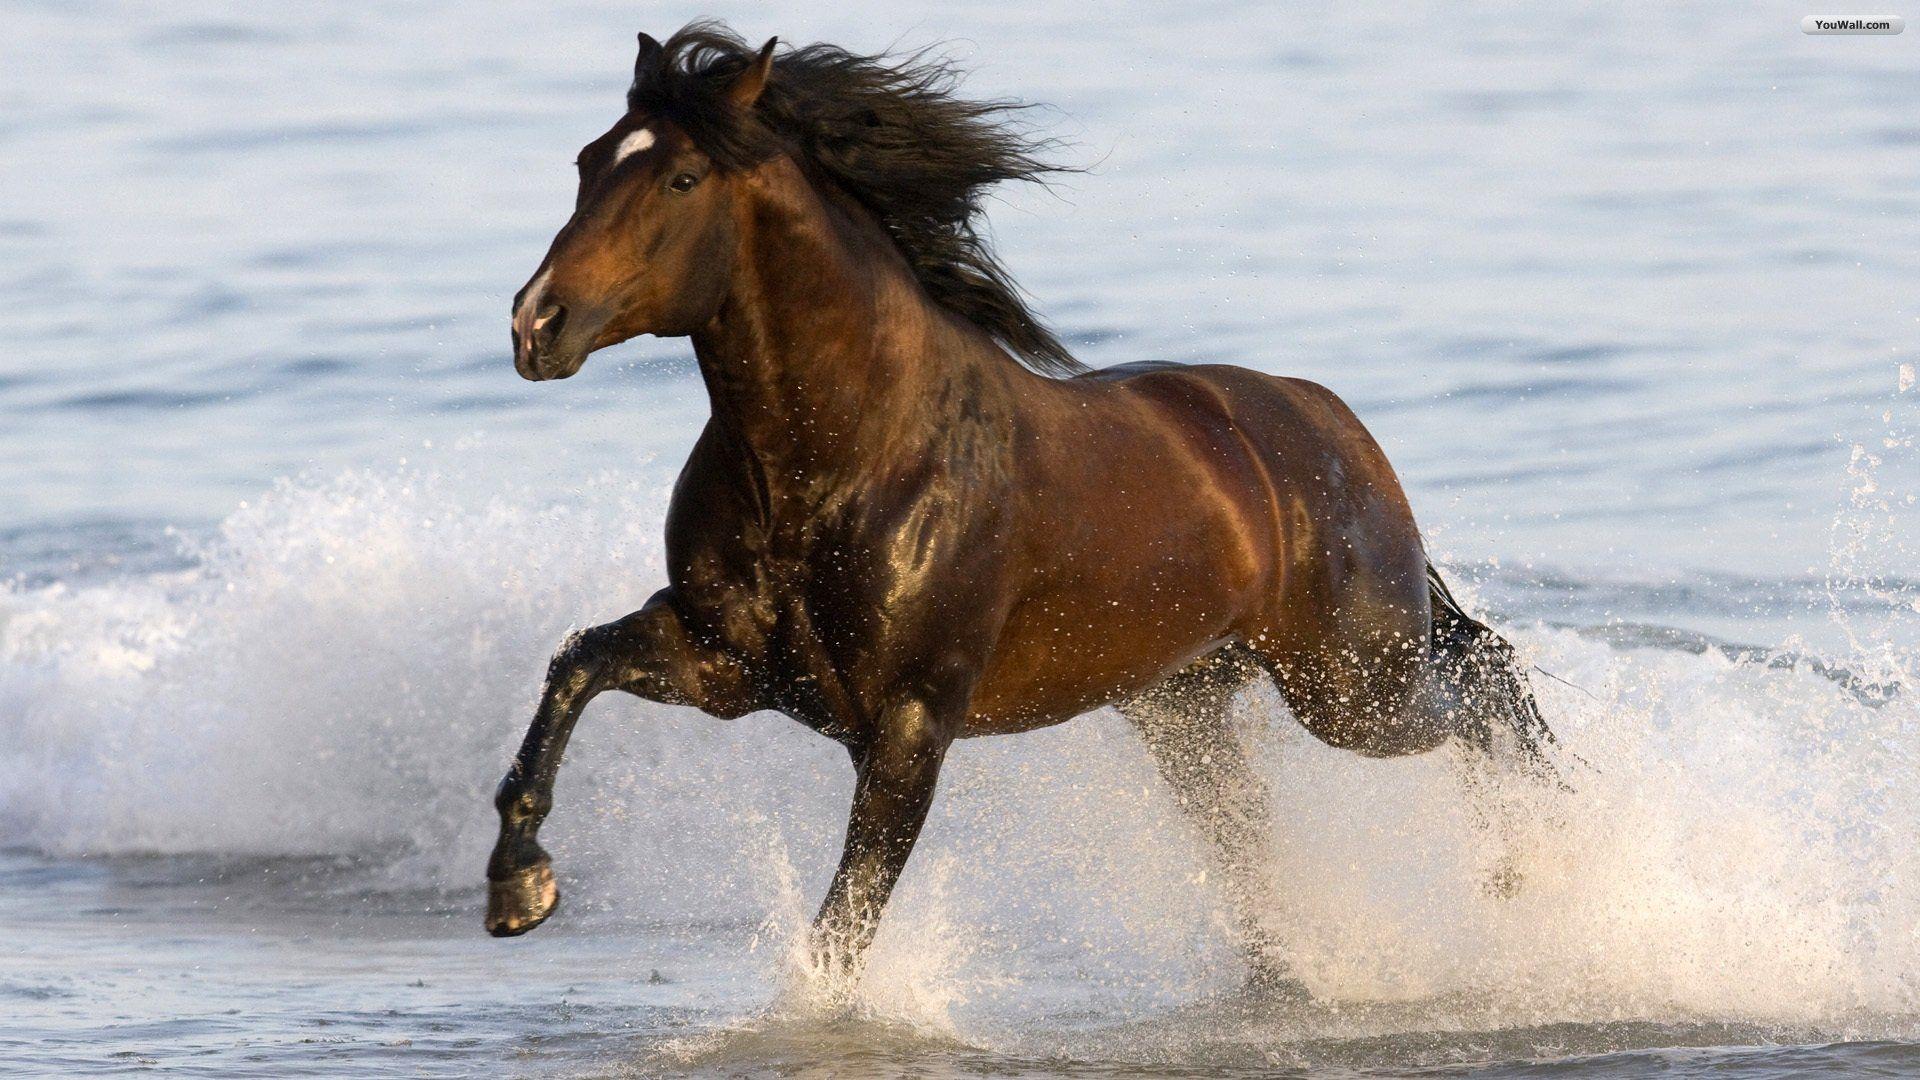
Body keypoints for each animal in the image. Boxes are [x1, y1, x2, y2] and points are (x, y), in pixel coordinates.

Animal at [485, 22, 1556, 989]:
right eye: (586, 162)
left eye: (681, 180)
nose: (536, 325)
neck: (847, 460)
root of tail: (1330, 420)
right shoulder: (726, 666)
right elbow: (577, 664)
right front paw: (518, 889)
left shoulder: (911, 724)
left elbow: (845, 925)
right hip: (1187, 705)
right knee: (1259, 827)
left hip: (1351, 684)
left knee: (1487, 686)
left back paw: (1529, 871)